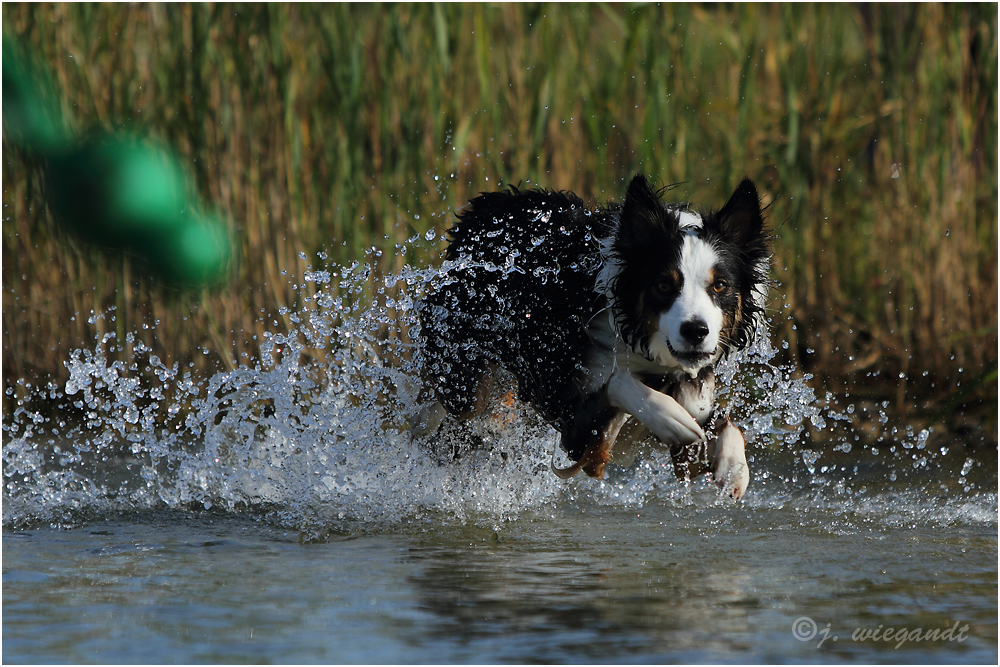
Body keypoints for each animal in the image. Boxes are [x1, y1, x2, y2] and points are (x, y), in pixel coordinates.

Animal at [410, 175, 768, 498]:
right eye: (664, 285)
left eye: (720, 285)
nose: (696, 331)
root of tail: (484, 206)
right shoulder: (569, 416)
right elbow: (618, 383)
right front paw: (667, 416)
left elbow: (725, 424)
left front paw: (734, 466)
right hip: (466, 379)